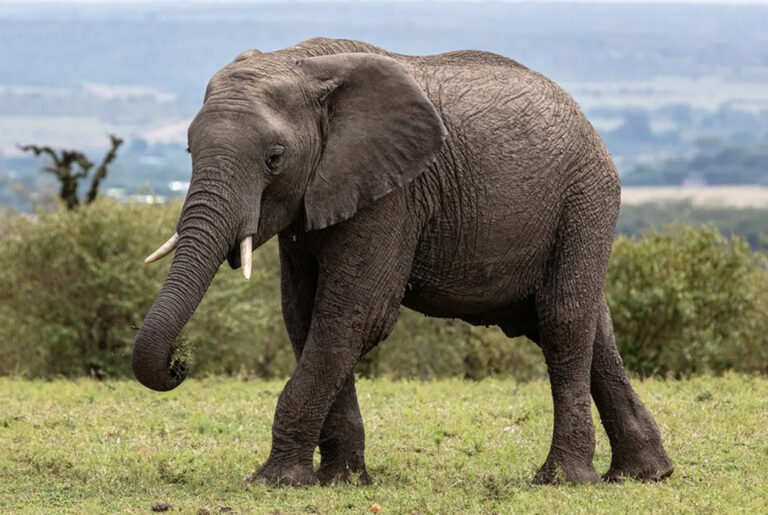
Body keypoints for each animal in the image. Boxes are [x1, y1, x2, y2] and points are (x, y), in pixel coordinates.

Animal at [133, 37, 674, 486]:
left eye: (274, 158)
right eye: (188, 148)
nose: (180, 362)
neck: (305, 64)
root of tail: (587, 122)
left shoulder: (394, 196)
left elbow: (353, 315)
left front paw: (275, 481)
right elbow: (305, 317)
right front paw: (342, 481)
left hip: (586, 198)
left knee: (563, 320)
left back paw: (564, 480)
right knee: (581, 324)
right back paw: (645, 475)